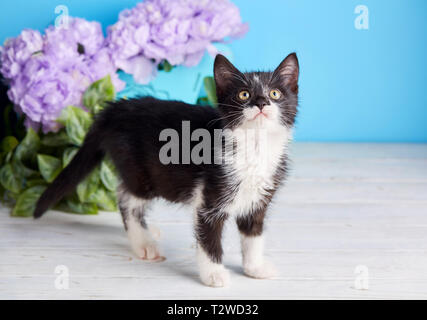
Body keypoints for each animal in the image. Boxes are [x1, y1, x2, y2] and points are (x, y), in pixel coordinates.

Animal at [34, 52, 300, 288]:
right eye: (244, 95)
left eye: (275, 93)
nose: (262, 103)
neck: (254, 147)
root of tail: (115, 108)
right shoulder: (209, 199)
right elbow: (209, 240)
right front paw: (214, 275)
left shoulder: (258, 200)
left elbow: (253, 236)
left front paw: (255, 267)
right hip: (140, 170)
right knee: (127, 198)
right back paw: (143, 242)